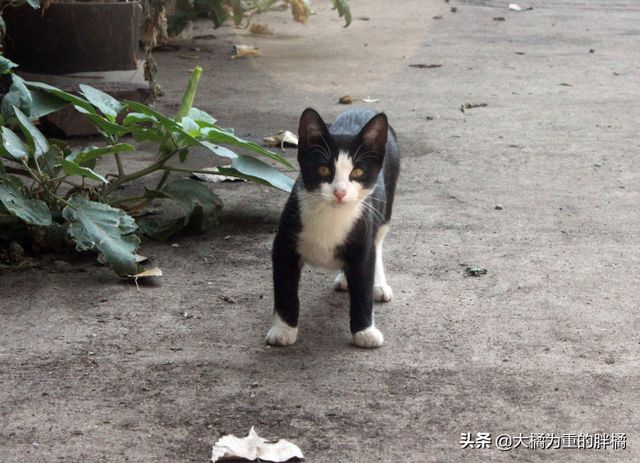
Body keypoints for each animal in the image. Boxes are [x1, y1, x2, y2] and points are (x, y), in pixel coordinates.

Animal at [266, 108, 400, 348]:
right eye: (323, 168)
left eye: (357, 172)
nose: (340, 192)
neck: (331, 216)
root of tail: (364, 109)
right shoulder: (284, 244)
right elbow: (285, 289)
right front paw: (283, 329)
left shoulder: (363, 239)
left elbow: (363, 281)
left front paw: (365, 332)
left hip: (386, 204)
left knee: (378, 241)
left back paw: (378, 284)